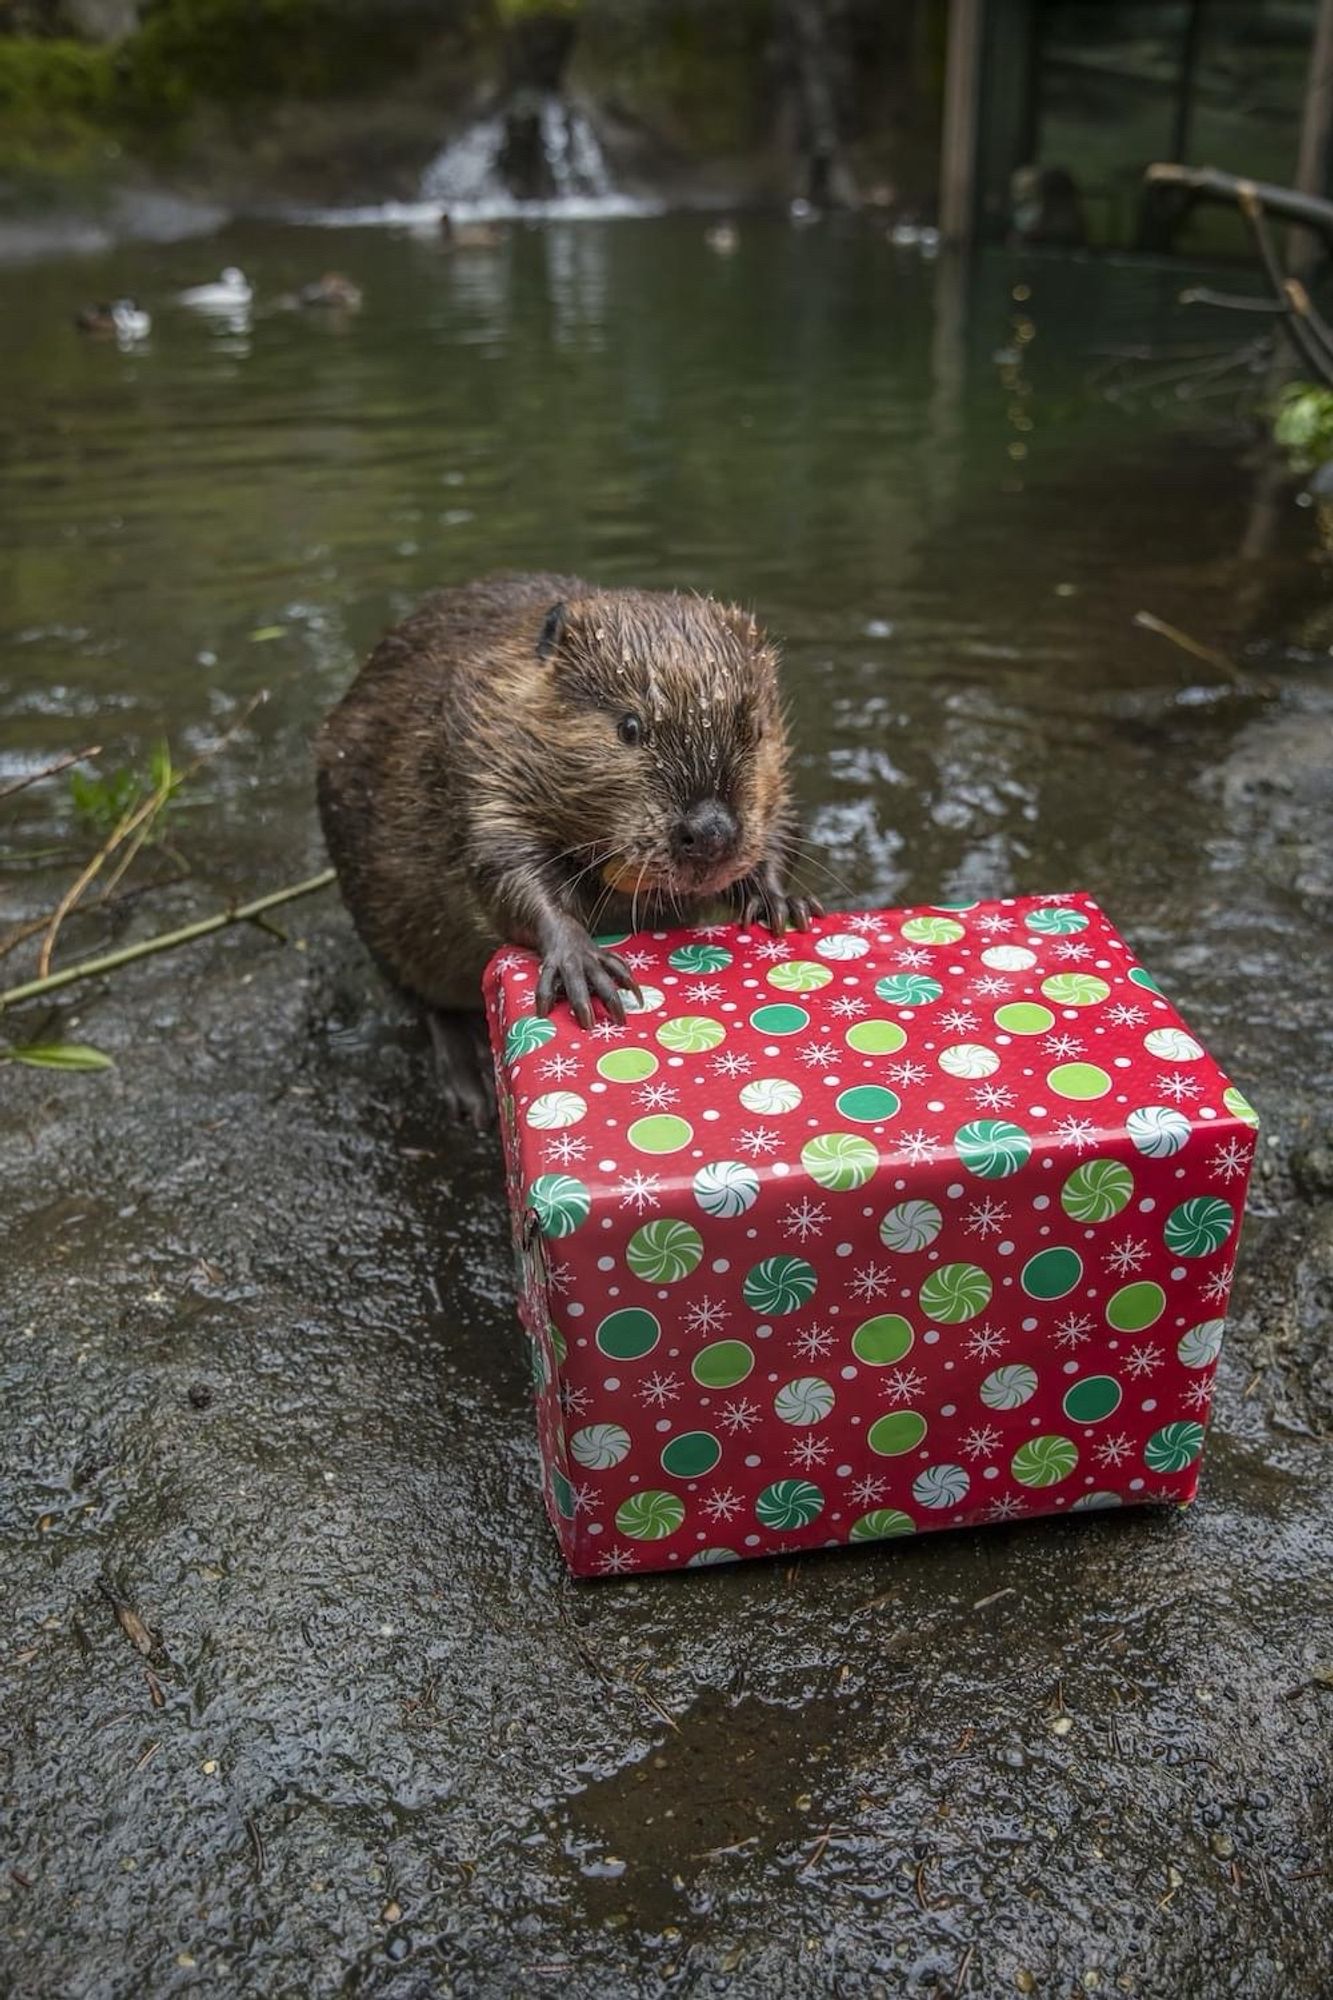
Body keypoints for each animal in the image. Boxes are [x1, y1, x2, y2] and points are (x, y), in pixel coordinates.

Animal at [314, 576, 808, 1128]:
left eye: (756, 729)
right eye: (629, 727)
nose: (711, 832)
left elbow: (781, 823)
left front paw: (780, 902)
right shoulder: (477, 755)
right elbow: (503, 864)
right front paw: (585, 966)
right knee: (423, 999)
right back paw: (471, 1086)